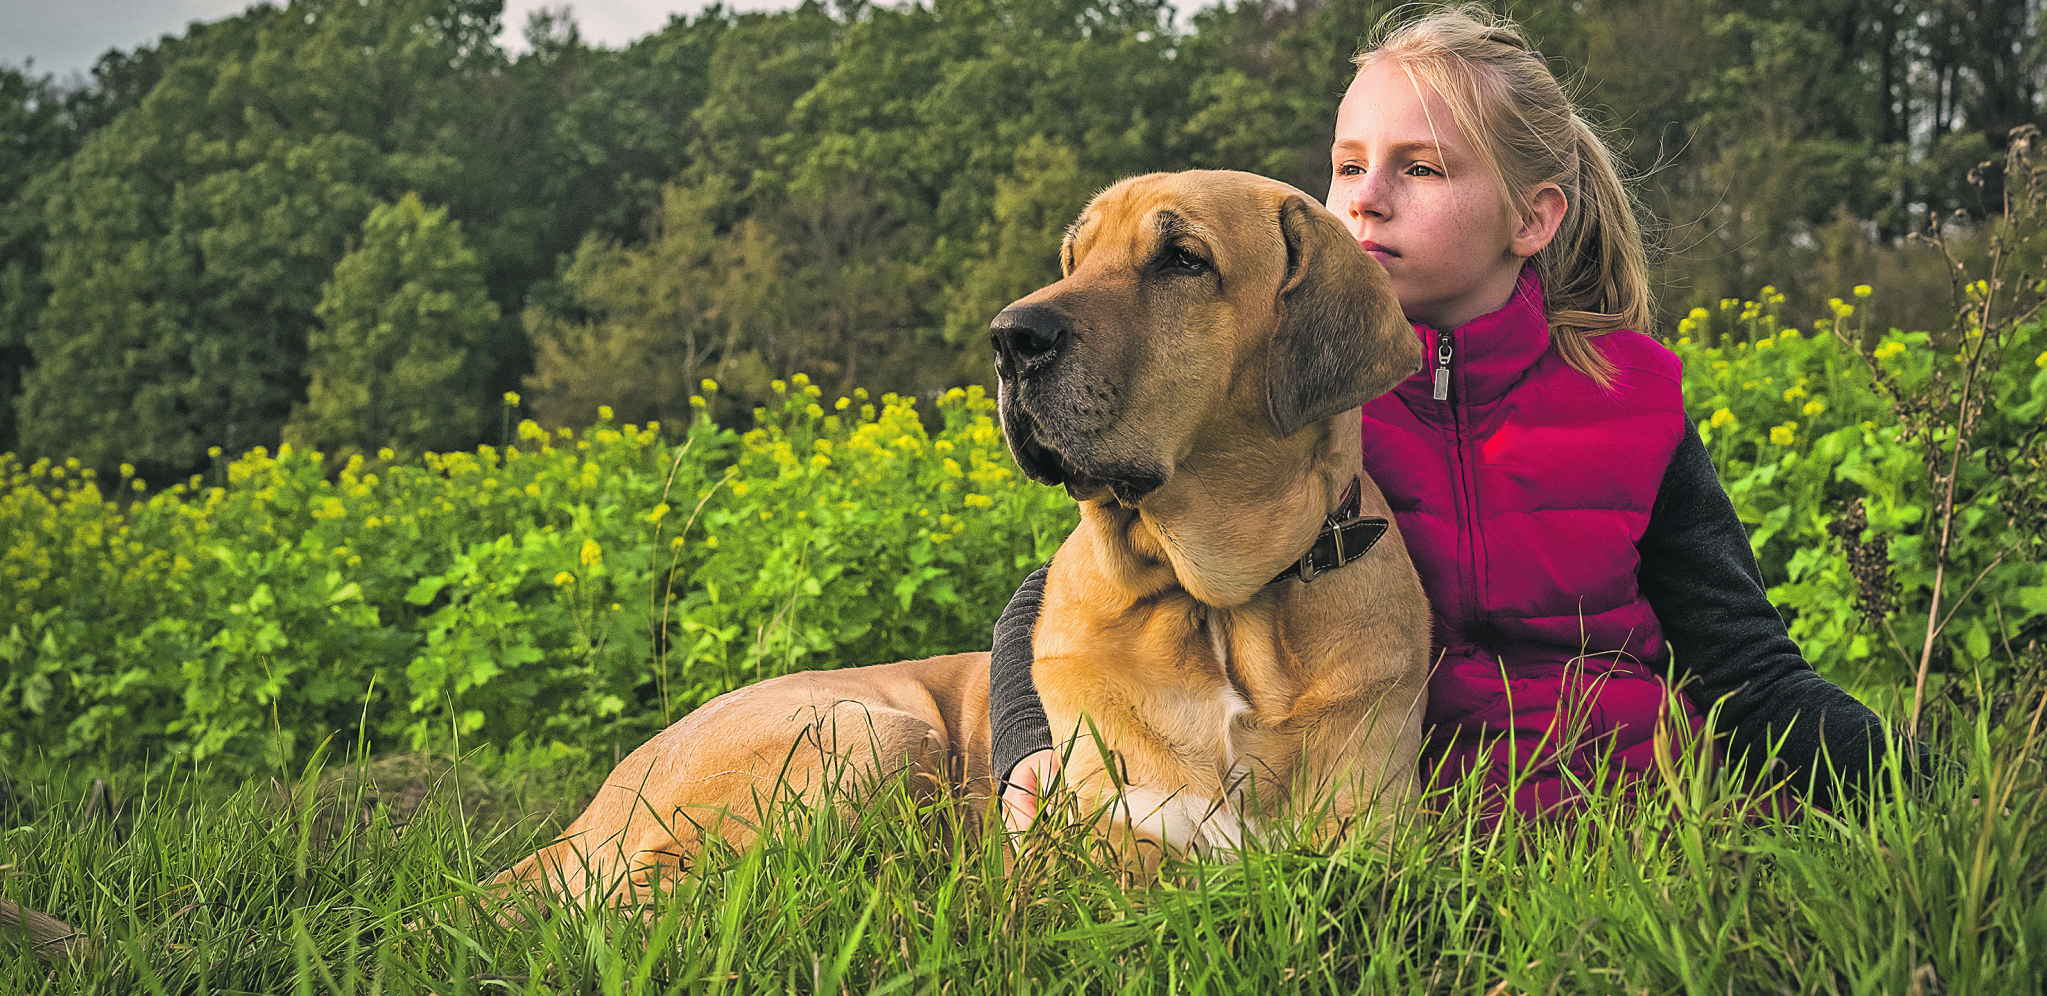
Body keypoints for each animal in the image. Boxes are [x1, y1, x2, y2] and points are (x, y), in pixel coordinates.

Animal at [493, 171, 1424, 903]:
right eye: (1073, 260)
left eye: (1182, 260)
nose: (1011, 338)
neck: (1223, 608)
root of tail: (577, 823)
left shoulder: (1366, 835)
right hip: (872, 732)